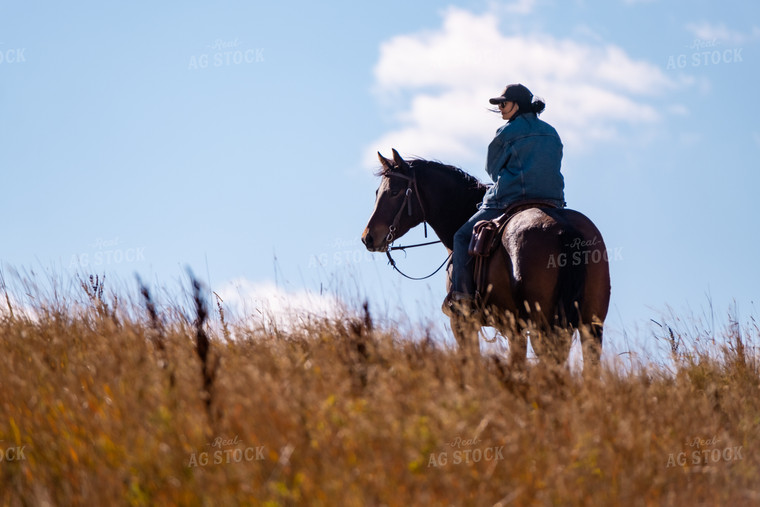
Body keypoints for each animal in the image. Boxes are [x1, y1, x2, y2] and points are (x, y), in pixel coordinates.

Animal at [362, 149, 612, 372]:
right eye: (376, 192)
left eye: (395, 192)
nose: (368, 237)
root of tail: (564, 227)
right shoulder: (514, 329)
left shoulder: (464, 323)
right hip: (590, 327)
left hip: (543, 326)